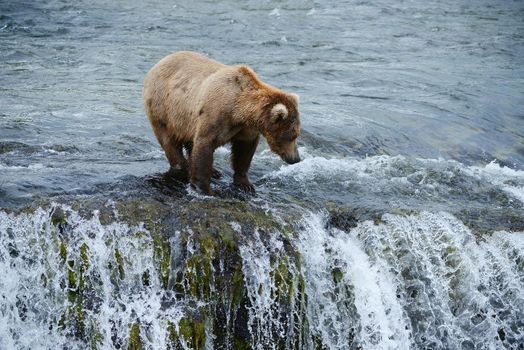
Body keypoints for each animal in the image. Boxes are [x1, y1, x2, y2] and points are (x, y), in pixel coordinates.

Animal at [143, 51, 300, 196]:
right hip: (164, 107)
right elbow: (204, 144)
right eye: (293, 135)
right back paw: (183, 167)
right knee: (169, 140)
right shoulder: (215, 114)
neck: (239, 111)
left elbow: (244, 152)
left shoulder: (245, 128)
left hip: (186, 119)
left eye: (296, 134)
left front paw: (245, 184)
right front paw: (204, 189)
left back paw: (213, 171)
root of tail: (160, 62)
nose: (296, 159)